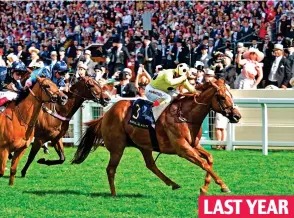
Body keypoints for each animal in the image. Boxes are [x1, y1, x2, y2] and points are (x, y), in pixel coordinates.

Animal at [72, 79, 241, 196]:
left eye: (231, 95)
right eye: (221, 97)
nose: (237, 116)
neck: (186, 115)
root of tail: (106, 113)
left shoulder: (194, 145)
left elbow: (209, 159)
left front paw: (205, 187)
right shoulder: (183, 149)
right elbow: (204, 163)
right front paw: (222, 185)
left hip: (144, 145)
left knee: (150, 165)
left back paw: (173, 183)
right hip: (117, 148)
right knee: (111, 169)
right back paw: (114, 194)